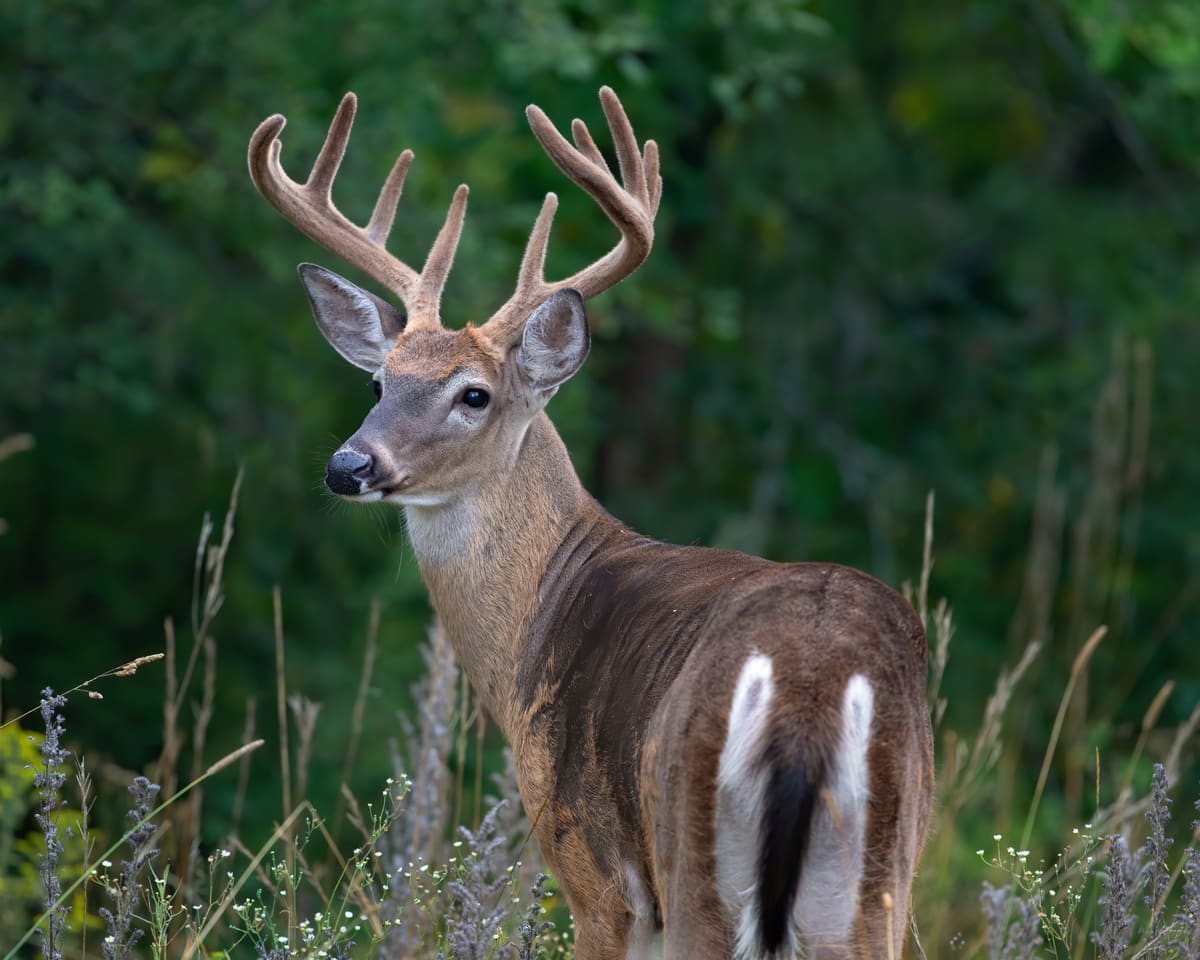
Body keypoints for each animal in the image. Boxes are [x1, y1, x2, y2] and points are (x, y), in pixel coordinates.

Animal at [248, 86, 934, 960]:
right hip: (878, 879)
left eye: (474, 394)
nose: (350, 465)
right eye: (378, 382)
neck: (542, 609)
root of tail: (808, 699)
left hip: (693, 858)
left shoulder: (591, 869)